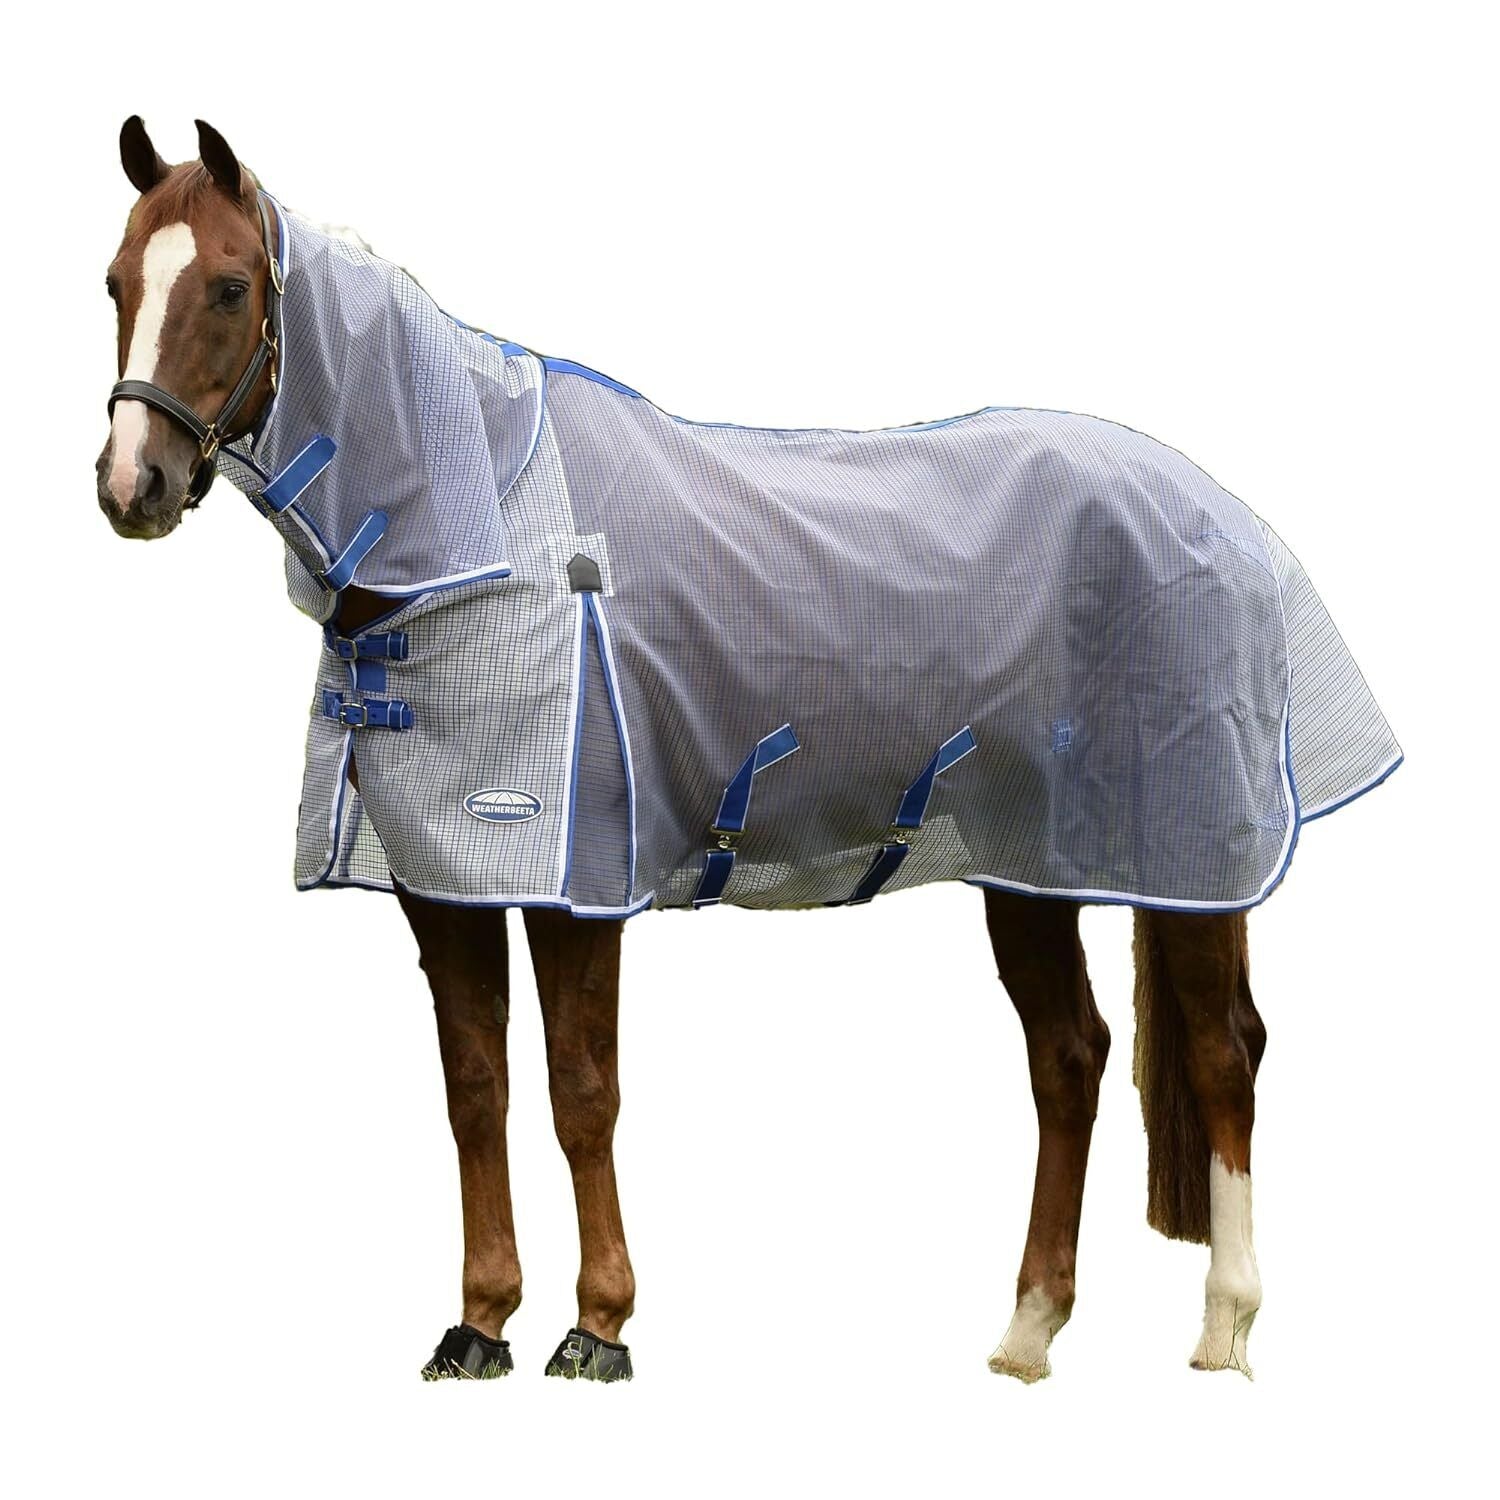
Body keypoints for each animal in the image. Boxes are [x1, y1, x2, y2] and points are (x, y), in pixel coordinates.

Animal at [95, 117, 1400, 1382]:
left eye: (227, 286)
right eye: (113, 280)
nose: (130, 485)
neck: (485, 530)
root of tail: (1224, 516)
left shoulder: (582, 885)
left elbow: (581, 1093)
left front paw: (599, 1328)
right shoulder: (444, 883)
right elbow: (477, 1091)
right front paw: (480, 1325)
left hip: (1186, 855)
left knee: (1225, 1055)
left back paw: (1226, 1329)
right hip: (1037, 865)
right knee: (1070, 1058)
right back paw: (1029, 1334)